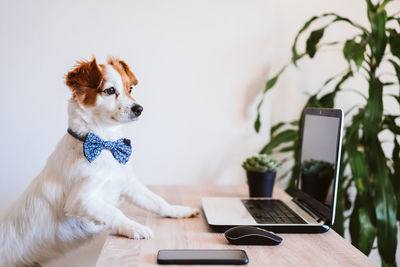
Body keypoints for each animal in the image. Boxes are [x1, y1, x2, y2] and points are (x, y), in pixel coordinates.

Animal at [0, 57, 200, 266]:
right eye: (110, 90)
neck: (106, 145)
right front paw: (134, 227)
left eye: (130, 89)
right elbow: (114, 212)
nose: (139, 109)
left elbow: (156, 201)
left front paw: (177, 210)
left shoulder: (128, 183)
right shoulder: (80, 201)